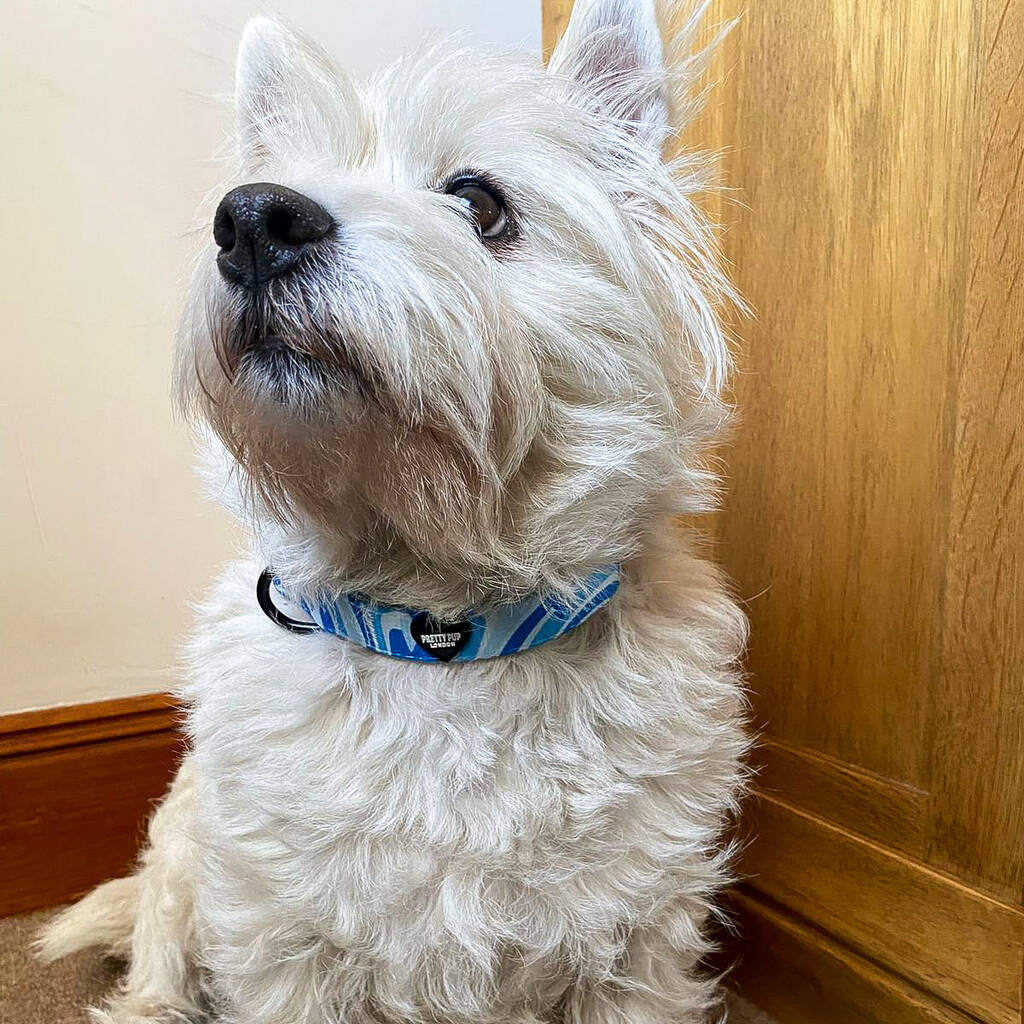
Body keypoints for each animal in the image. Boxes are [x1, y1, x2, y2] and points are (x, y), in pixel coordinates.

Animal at [39, 4, 749, 1019]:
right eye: (256, 201)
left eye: (480, 203)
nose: (252, 220)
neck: (438, 627)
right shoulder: (284, 945)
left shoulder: (633, 948)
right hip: (182, 864)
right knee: (154, 975)